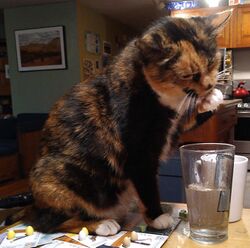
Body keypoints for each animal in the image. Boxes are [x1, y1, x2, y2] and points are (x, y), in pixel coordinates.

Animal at [9, 10, 232, 236]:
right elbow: (147, 185)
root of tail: (32, 204)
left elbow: (189, 118)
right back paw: (101, 224)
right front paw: (157, 217)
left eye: (212, 62)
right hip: (56, 175)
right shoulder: (139, 152)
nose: (210, 85)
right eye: (188, 74)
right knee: (47, 222)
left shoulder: (174, 125)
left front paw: (212, 98)